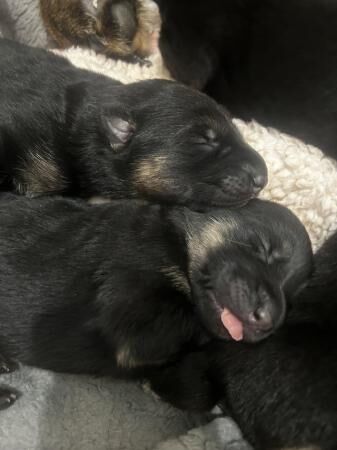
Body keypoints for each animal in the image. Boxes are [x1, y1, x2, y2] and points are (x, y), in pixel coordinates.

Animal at [0, 195, 312, 410]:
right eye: (263, 248)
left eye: (292, 296)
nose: (268, 321)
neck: (178, 244)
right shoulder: (132, 314)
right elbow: (189, 324)